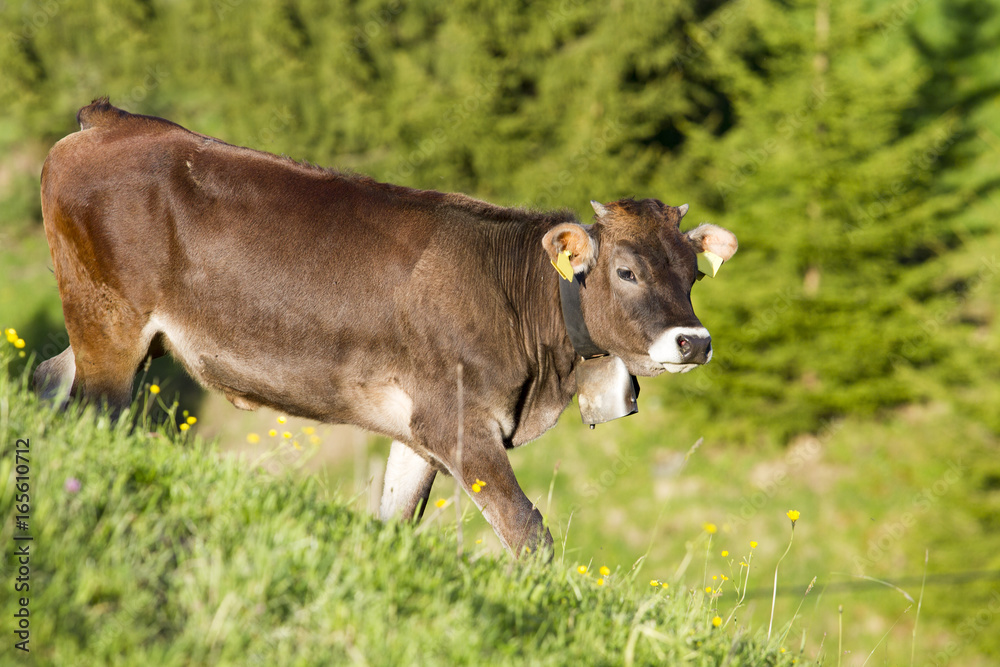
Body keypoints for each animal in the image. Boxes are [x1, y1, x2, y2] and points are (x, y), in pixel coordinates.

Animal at [34, 99, 737, 557]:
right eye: (626, 271)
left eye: (693, 275)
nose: (693, 342)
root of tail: (115, 120)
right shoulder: (458, 423)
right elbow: (529, 534)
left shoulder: (418, 431)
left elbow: (397, 522)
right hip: (109, 324)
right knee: (92, 412)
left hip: (114, 333)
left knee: (49, 376)